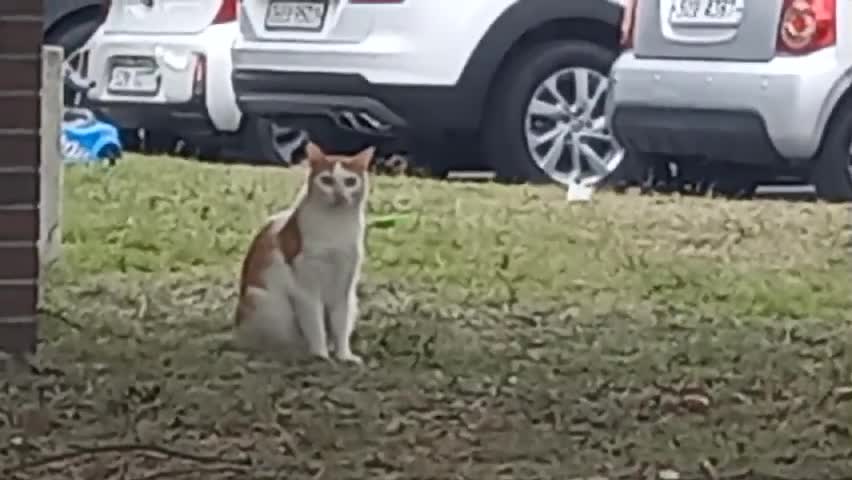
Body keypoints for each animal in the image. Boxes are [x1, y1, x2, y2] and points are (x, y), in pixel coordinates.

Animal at [236, 142, 376, 364]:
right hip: (265, 302)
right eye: (327, 180)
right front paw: (320, 354)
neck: (335, 226)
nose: (339, 195)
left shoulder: (343, 288)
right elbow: (316, 326)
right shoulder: (306, 290)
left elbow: (340, 325)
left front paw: (344, 355)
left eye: (350, 181)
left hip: (353, 301)